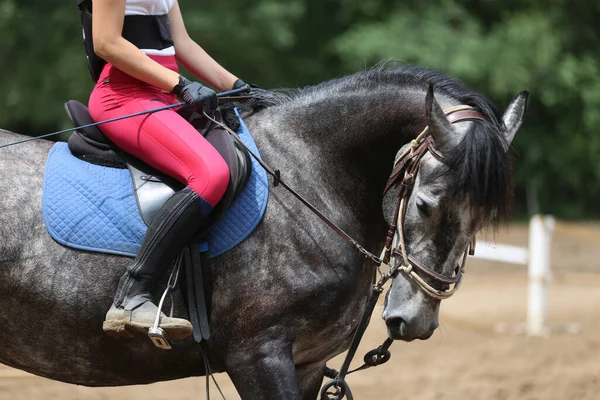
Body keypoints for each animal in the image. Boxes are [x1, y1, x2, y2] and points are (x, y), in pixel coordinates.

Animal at [0, 65, 524, 396]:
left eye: (481, 223)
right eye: (424, 204)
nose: (414, 321)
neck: (310, 174)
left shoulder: (306, 364)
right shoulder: (259, 355)